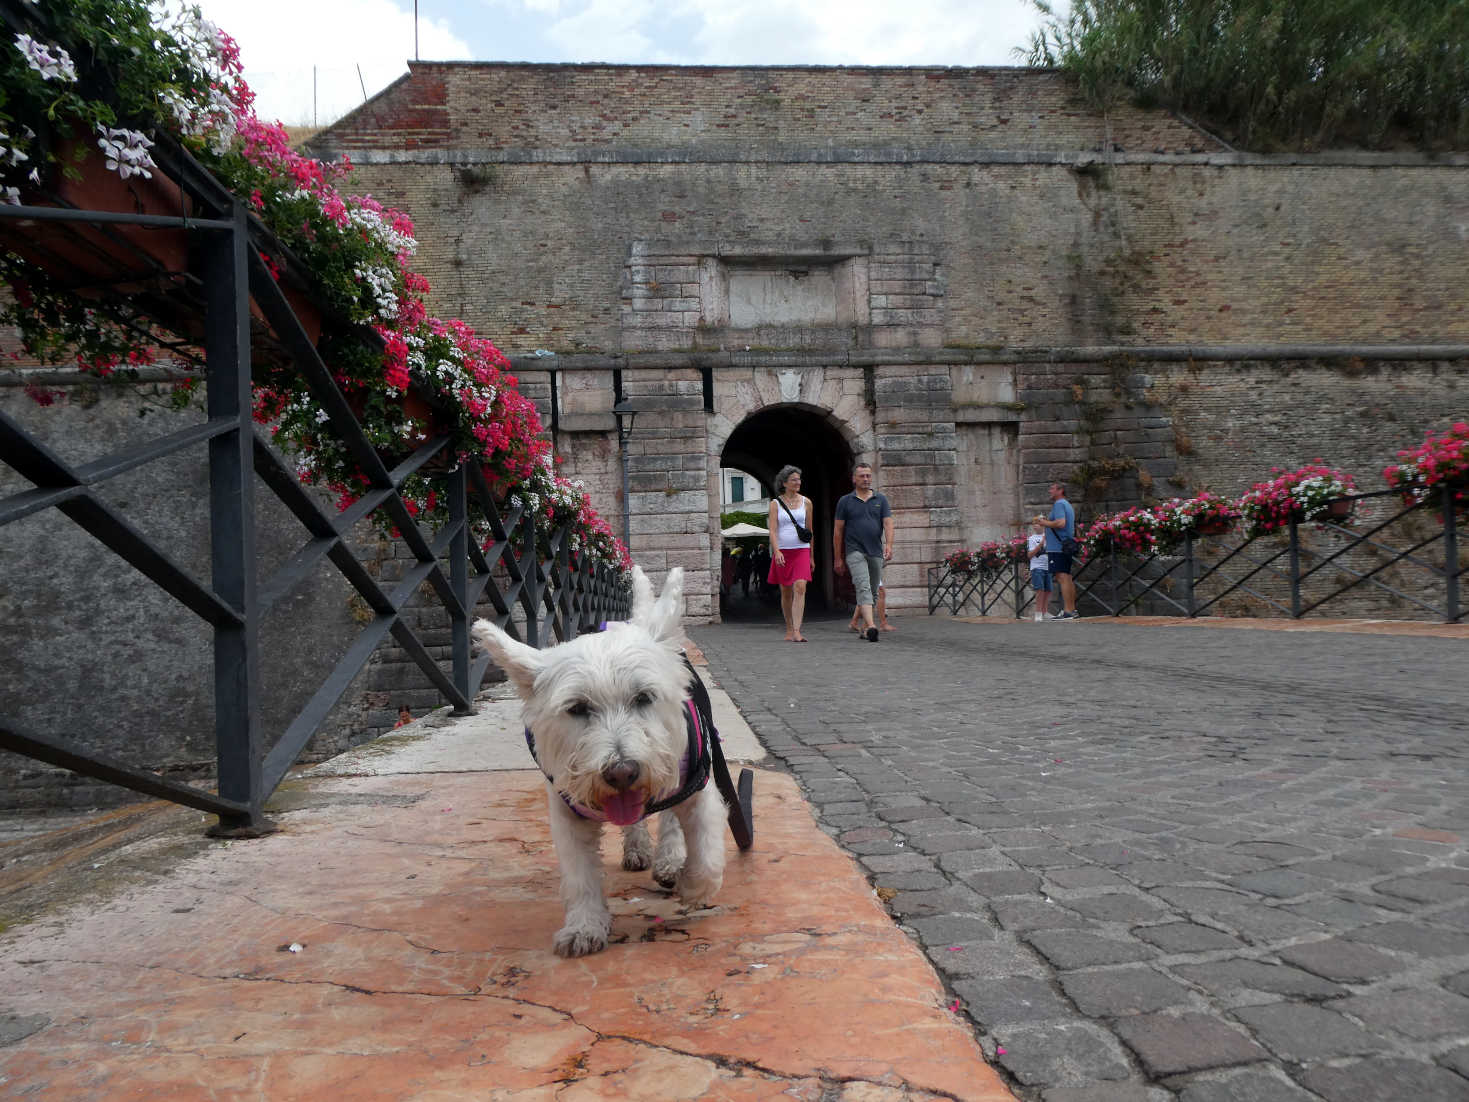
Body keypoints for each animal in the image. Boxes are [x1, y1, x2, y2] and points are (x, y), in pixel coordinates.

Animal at [473, 570, 725, 958]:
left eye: (644, 698)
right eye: (577, 708)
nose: (622, 772)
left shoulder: (698, 788)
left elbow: (708, 856)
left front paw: (691, 887)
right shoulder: (567, 813)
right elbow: (579, 874)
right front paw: (584, 927)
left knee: (669, 817)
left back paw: (668, 859)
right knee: (637, 821)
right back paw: (637, 848)